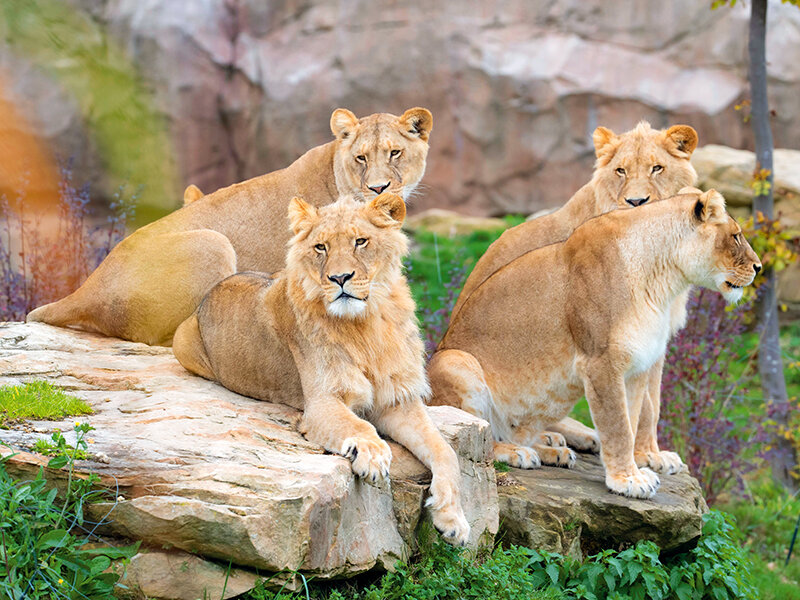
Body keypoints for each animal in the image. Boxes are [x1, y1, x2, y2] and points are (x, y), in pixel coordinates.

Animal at [169, 191, 468, 544]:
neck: (366, 323)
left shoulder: (398, 400)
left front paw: (453, 520)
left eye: (360, 241)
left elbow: (445, 451)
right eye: (320, 247)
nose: (340, 278)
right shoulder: (323, 402)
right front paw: (372, 455)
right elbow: (359, 426)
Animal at [428, 190, 760, 500]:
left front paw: (636, 470)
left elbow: (635, 418)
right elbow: (618, 426)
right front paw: (628, 480)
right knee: (477, 439)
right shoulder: (601, 361)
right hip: (455, 361)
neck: (663, 280)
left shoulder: (638, 366)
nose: (758, 267)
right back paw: (518, 452)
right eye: (736, 235)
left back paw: (553, 451)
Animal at [450, 120, 700, 468]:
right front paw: (644, 457)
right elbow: (646, 404)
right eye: (621, 170)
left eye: (657, 168)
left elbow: (652, 399)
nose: (637, 202)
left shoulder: (656, 334)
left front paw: (651, 453)